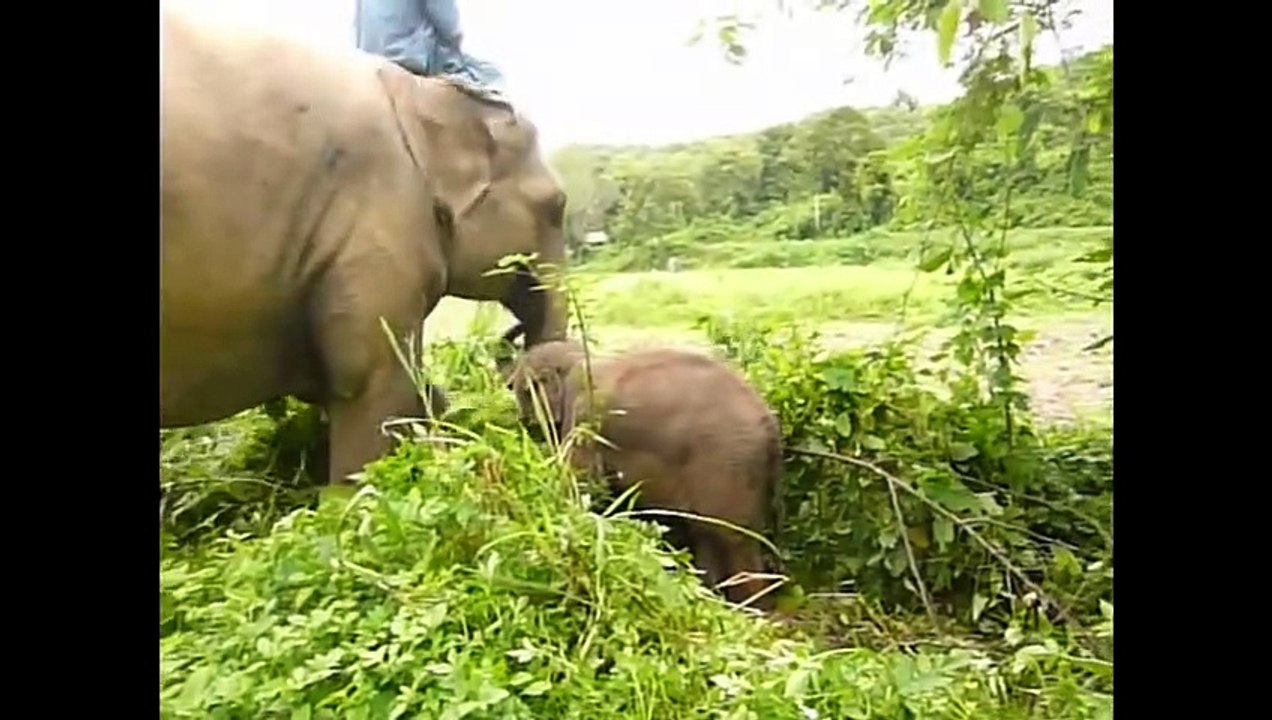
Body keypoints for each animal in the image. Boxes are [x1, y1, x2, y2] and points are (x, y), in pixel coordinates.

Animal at [497, 336, 783, 610]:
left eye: (524, 390)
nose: (520, 420)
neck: (578, 358)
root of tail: (769, 426)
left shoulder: (585, 421)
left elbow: (582, 484)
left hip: (725, 464)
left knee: (732, 538)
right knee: (708, 535)